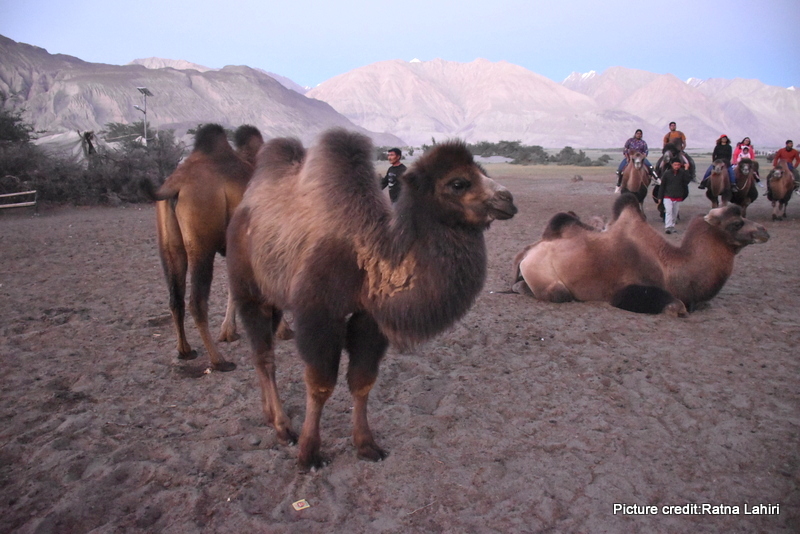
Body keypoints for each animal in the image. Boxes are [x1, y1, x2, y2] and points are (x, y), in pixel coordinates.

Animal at [147, 123, 284, 372]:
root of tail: (175, 186)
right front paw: (281, 329)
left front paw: (229, 332)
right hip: (202, 244)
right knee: (197, 301)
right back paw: (219, 360)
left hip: (169, 244)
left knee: (175, 297)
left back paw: (185, 351)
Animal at [226, 129, 517, 469]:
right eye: (459, 183)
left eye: (484, 172)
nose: (508, 199)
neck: (368, 257)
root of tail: (243, 209)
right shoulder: (319, 314)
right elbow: (320, 384)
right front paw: (310, 454)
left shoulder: (369, 317)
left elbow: (362, 380)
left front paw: (367, 445)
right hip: (248, 289)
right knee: (264, 355)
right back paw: (282, 427)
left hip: (274, 296)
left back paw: (268, 414)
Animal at [512, 193, 769, 316]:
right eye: (736, 223)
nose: (764, 231)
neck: (673, 268)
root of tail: (527, 254)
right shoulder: (623, 290)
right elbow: (677, 306)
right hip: (547, 280)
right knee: (558, 292)